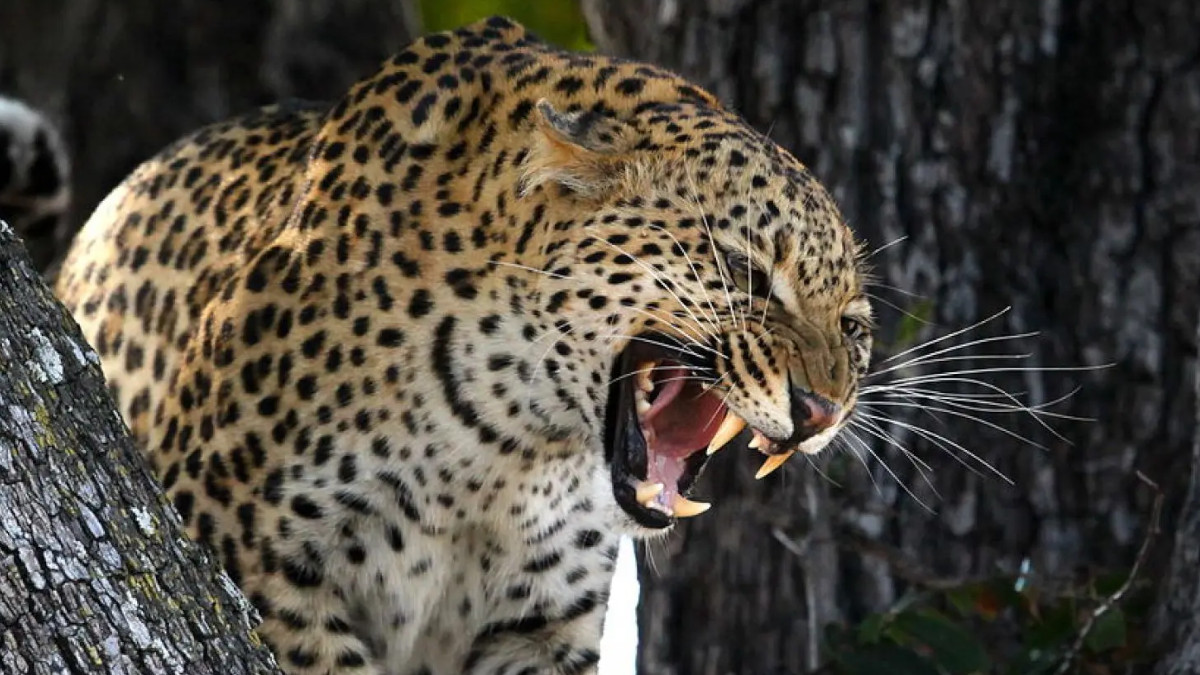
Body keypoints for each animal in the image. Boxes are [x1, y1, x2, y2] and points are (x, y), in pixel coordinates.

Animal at [50, 16, 873, 675]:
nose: (820, 411)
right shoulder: (260, 557)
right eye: (744, 271)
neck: (507, 445)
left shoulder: (539, 624)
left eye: (852, 327)